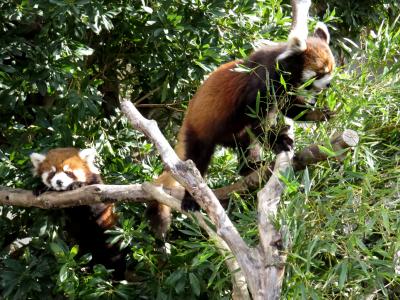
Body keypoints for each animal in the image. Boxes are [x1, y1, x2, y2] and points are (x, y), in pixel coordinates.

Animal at [29, 148, 126, 282]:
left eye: (68, 172)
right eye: (52, 173)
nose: (59, 182)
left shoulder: (96, 189)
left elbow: (94, 206)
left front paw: (77, 185)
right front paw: (41, 188)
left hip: (111, 238)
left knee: (115, 257)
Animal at [148, 22, 336, 239]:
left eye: (331, 69)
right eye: (320, 72)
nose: (329, 84)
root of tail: (186, 120)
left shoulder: (284, 89)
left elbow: (291, 109)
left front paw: (318, 114)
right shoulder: (261, 85)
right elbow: (258, 121)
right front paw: (280, 141)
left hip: (234, 133)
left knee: (246, 143)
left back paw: (250, 167)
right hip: (200, 132)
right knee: (197, 161)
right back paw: (191, 198)